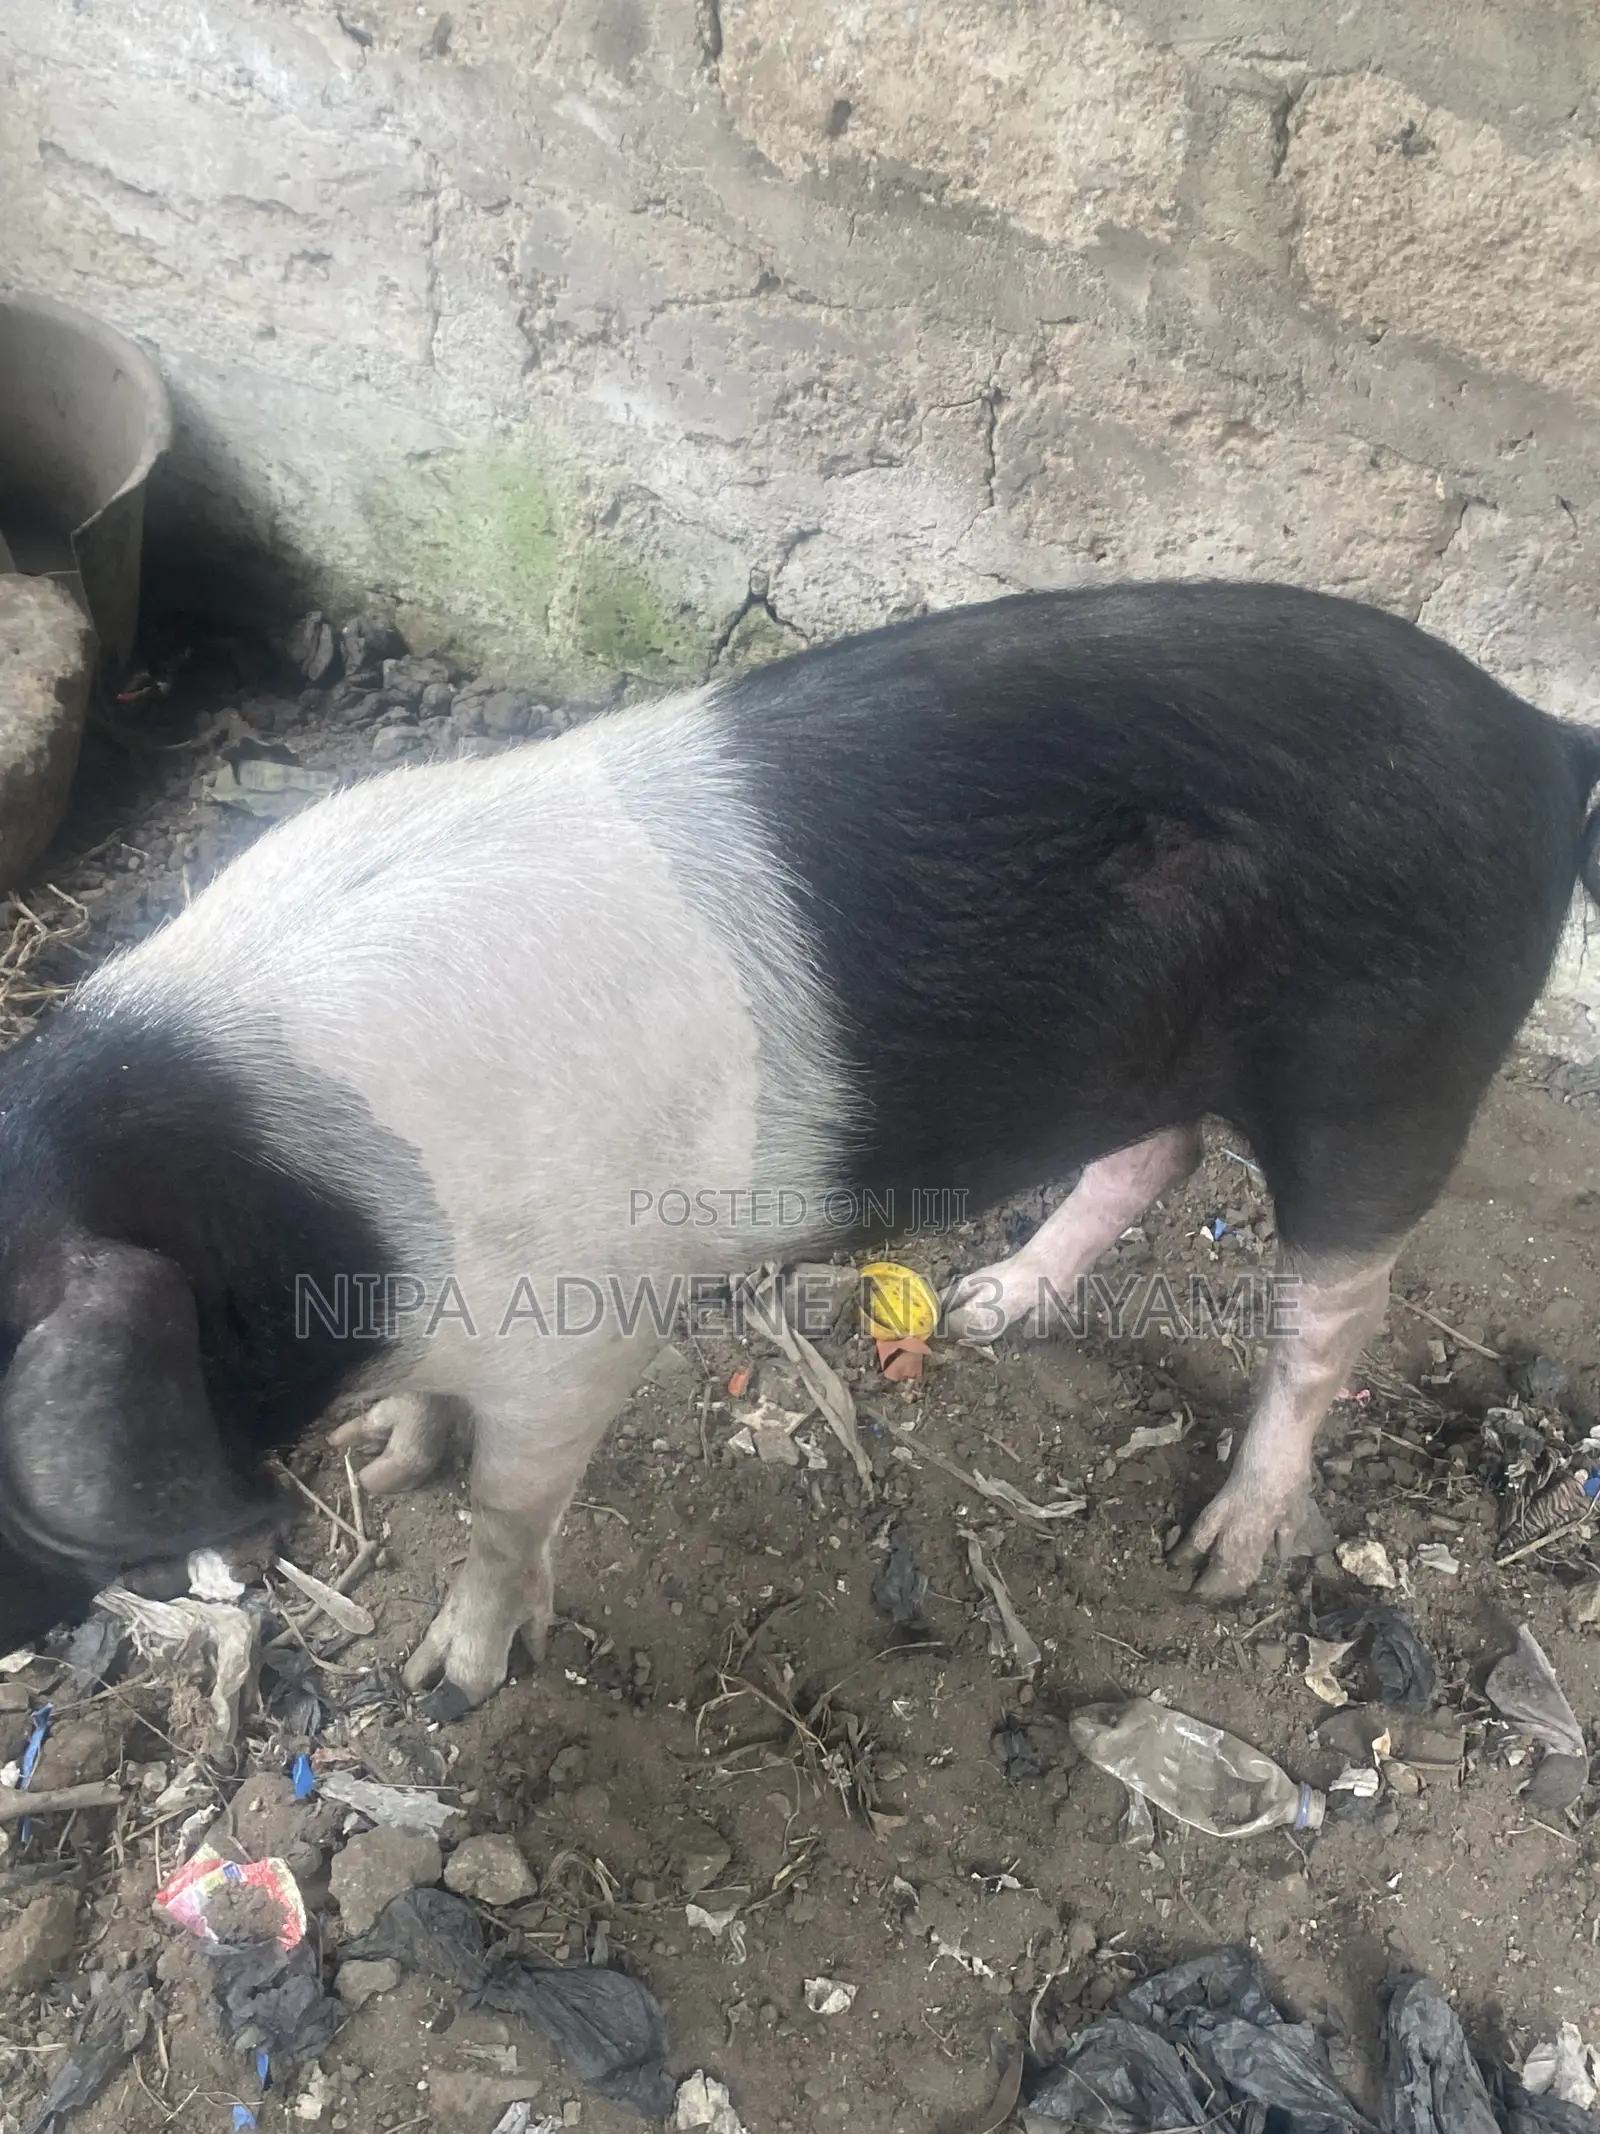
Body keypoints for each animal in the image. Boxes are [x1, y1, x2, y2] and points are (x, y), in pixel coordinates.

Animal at [0, 581, 1596, 1710]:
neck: (297, 1201)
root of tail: (1540, 739)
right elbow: (441, 1439)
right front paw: (387, 1462)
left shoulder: (584, 1330)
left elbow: (510, 1510)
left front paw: (451, 1675)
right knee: (1153, 1157)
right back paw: (989, 1307)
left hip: (1390, 1075)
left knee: (1331, 1316)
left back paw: (1220, 1556)